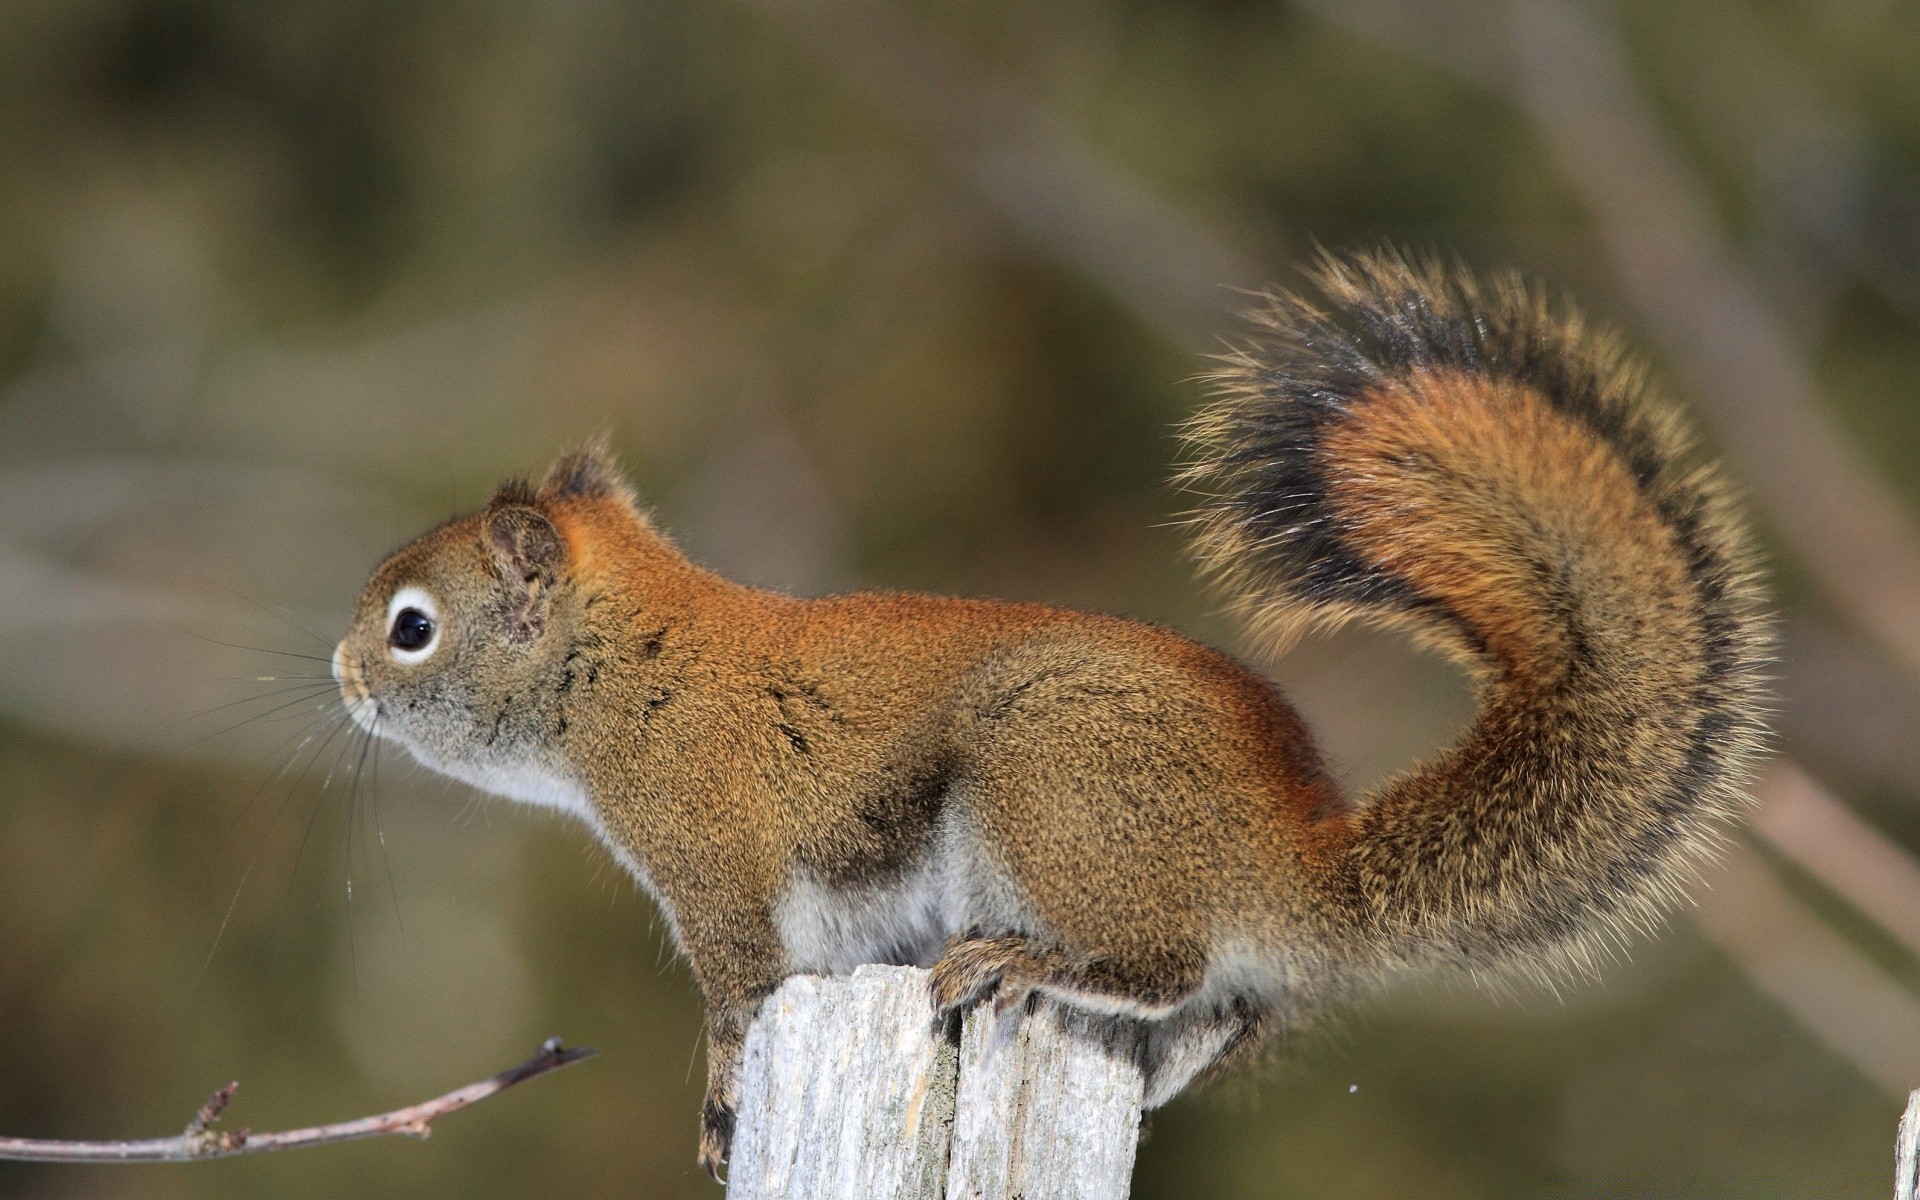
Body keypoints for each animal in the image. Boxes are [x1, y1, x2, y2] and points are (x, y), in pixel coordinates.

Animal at [330, 247, 1766, 1175]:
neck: (635, 664)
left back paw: (1026, 962)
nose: (340, 676)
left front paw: (725, 1108)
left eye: (413, 627)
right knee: (1208, 1012)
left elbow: (741, 1000)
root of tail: (1292, 867)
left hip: (1044, 788)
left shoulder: (713, 854)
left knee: (1160, 959)